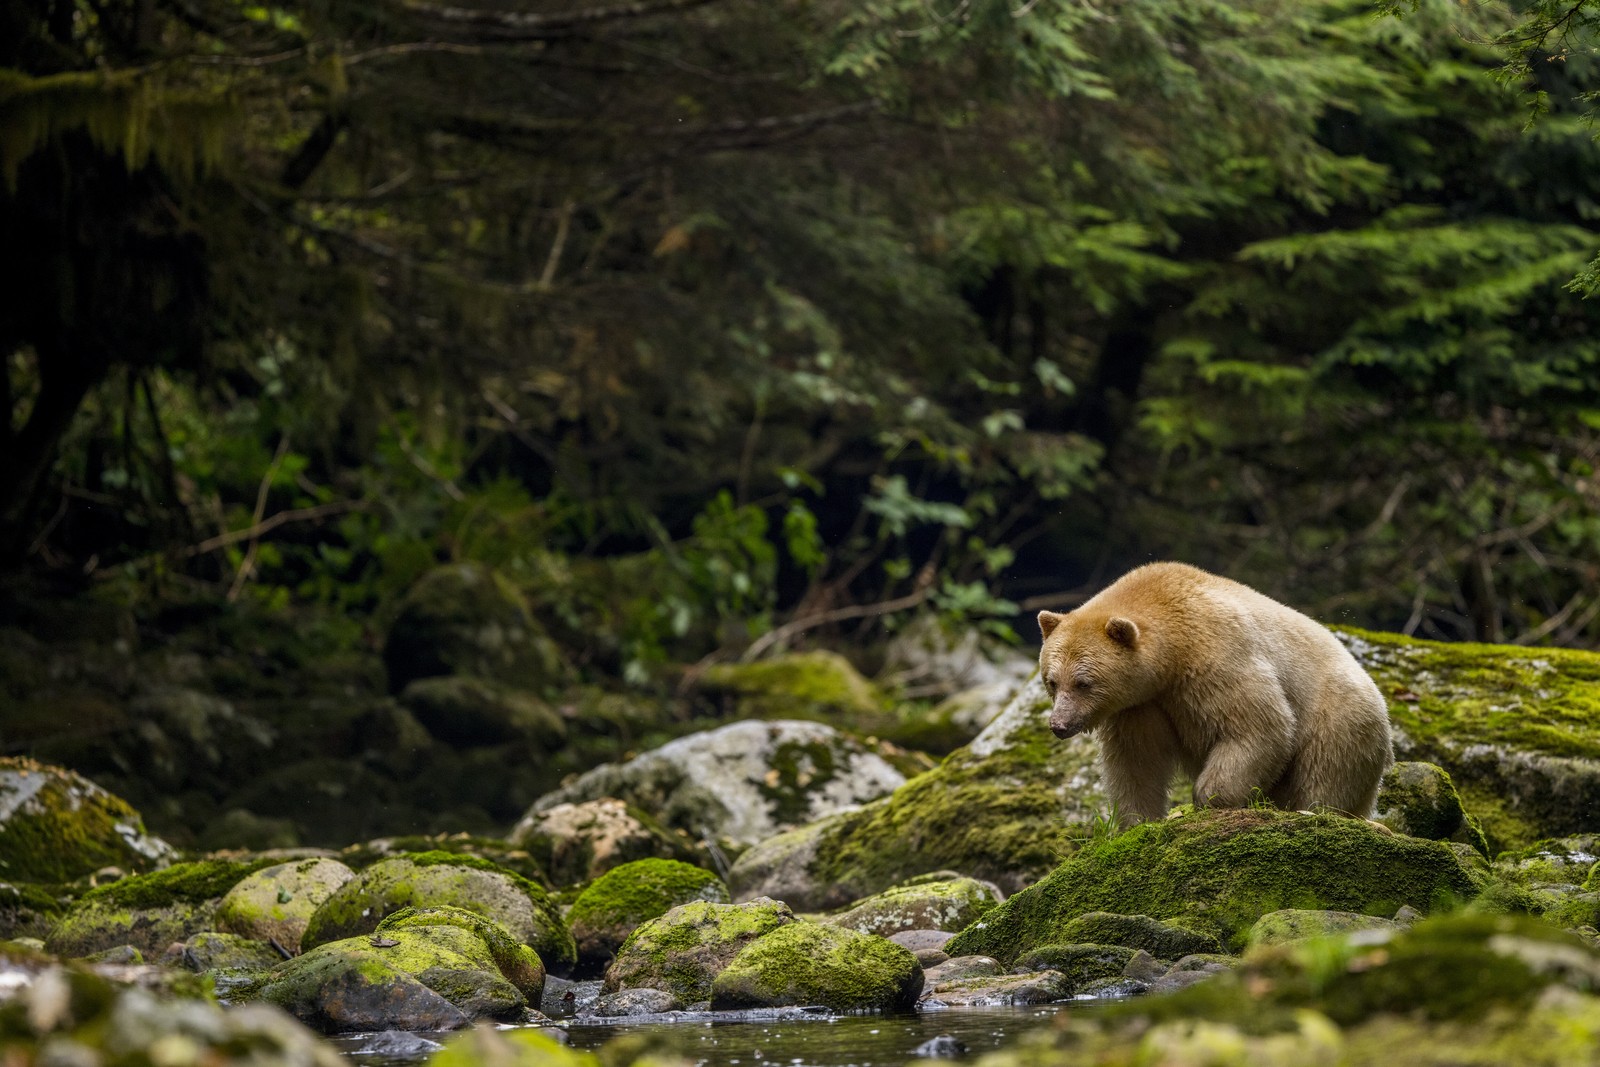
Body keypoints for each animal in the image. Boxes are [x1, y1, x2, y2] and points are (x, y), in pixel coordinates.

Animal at [1037, 561, 1392, 824]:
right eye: (1052, 681)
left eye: (1083, 682)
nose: (1059, 724)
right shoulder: (1139, 706)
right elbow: (1135, 762)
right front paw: (1137, 820)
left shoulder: (1215, 659)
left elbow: (1258, 726)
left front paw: (1211, 798)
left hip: (1339, 720)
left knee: (1324, 777)